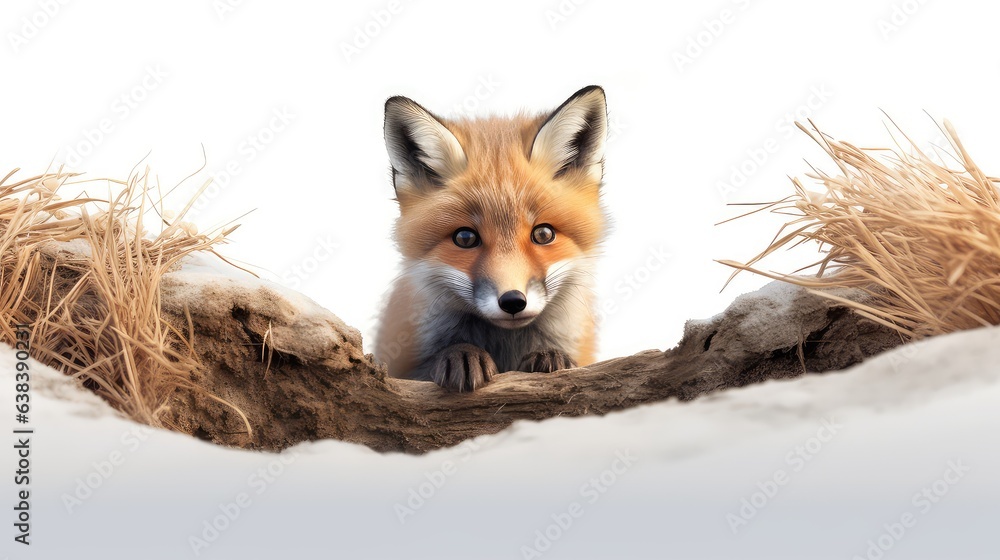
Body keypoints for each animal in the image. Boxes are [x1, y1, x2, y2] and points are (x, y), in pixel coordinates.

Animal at [374, 85, 610, 392]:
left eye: (543, 234)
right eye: (465, 238)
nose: (513, 302)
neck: (504, 343)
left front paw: (550, 357)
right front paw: (462, 353)